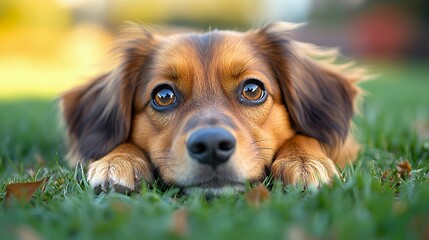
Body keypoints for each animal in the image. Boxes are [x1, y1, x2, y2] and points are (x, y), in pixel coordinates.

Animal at [60, 22, 362, 195]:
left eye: (252, 90)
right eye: (164, 96)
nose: (212, 146)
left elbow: (305, 136)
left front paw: (304, 161)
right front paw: (118, 160)